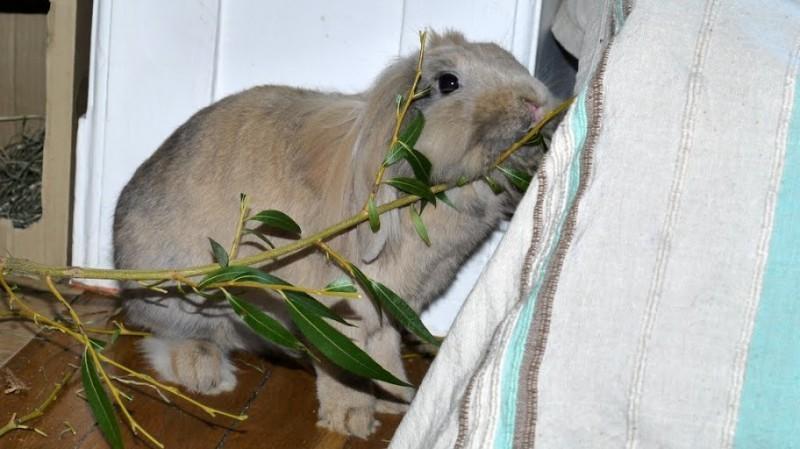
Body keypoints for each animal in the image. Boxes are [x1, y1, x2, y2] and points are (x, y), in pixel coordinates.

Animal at [113, 30, 556, 438]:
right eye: (448, 82)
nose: (537, 102)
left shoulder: (387, 308)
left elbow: (384, 353)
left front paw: (399, 397)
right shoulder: (339, 308)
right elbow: (343, 366)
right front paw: (352, 419)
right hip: (190, 296)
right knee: (169, 335)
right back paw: (205, 372)